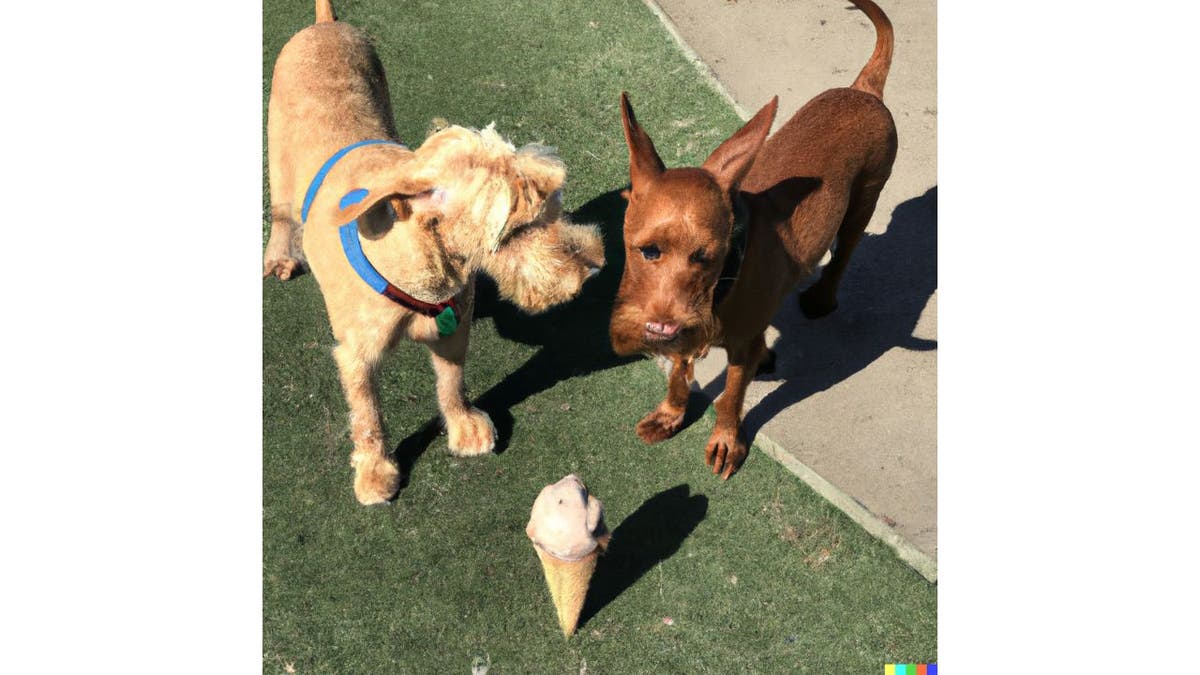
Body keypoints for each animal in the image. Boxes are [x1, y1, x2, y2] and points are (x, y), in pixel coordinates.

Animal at [262, 0, 600, 502]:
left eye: (554, 206)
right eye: (515, 229)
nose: (593, 268)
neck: (424, 264)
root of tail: (325, 25)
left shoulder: (453, 328)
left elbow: (452, 382)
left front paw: (463, 426)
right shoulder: (356, 355)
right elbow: (367, 415)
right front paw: (374, 471)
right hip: (279, 162)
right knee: (282, 213)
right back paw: (281, 255)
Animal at [614, 0, 897, 475]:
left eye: (707, 256)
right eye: (647, 251)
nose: (663, 327)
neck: (722, 286)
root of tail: (864, 89)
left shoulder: (737, 348)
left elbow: (729, 399)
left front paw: (727, 441)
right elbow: (679, 375)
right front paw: (671, 412)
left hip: (863, 204)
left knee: (841, 259)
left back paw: (822, 299)